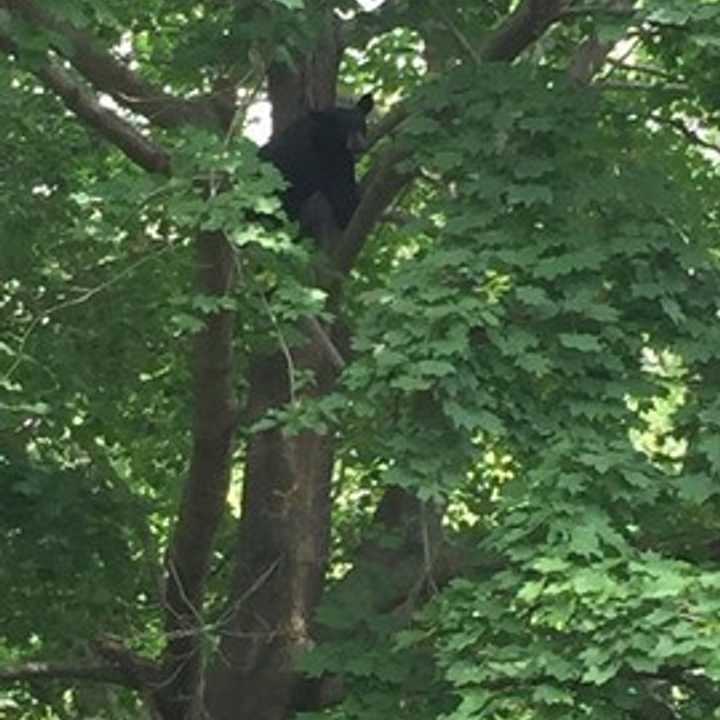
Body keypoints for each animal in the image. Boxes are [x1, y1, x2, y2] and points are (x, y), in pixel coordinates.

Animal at [258, 93, 374, 228]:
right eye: (342, 127)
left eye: (361, 125)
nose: (358, 144)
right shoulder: (310, 160)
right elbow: (339, 190)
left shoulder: (340, 160)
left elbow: (343, 186)